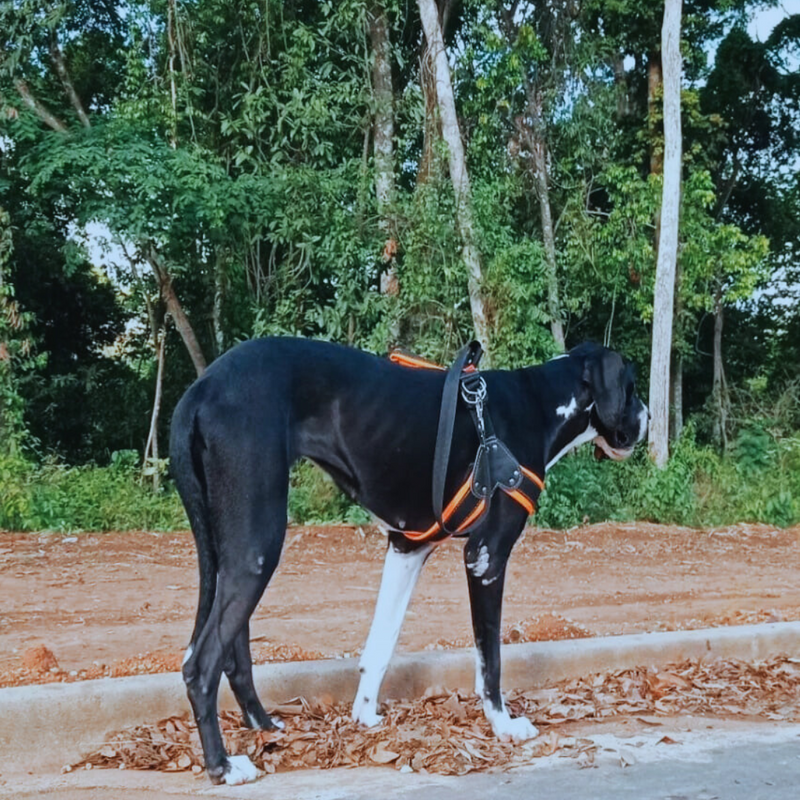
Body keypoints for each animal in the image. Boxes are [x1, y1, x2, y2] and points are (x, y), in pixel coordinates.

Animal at [170, 334, 648, 784]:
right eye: (632, 387)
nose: (645, 420)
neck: (539, 403)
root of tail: (201, 388)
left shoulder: (406, 548)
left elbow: (382, 642)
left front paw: (365, 716)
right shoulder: (486, 557)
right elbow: (489, 660)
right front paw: (503, 725)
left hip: (231, 549)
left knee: (233, 654)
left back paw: (264, 726)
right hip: (257, 546)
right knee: (201, 663)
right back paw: (223, 766)